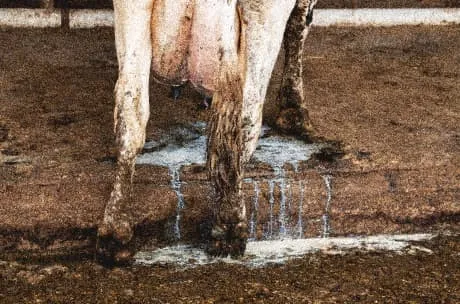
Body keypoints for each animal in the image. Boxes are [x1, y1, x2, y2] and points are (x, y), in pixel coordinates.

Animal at [96, 0, 316, 264]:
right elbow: (298, 26)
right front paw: (294, 109)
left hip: (132, 10)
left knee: (130, 111)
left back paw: (115, 231)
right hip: (262, 14)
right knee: (246, 119)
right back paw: (230, 225)